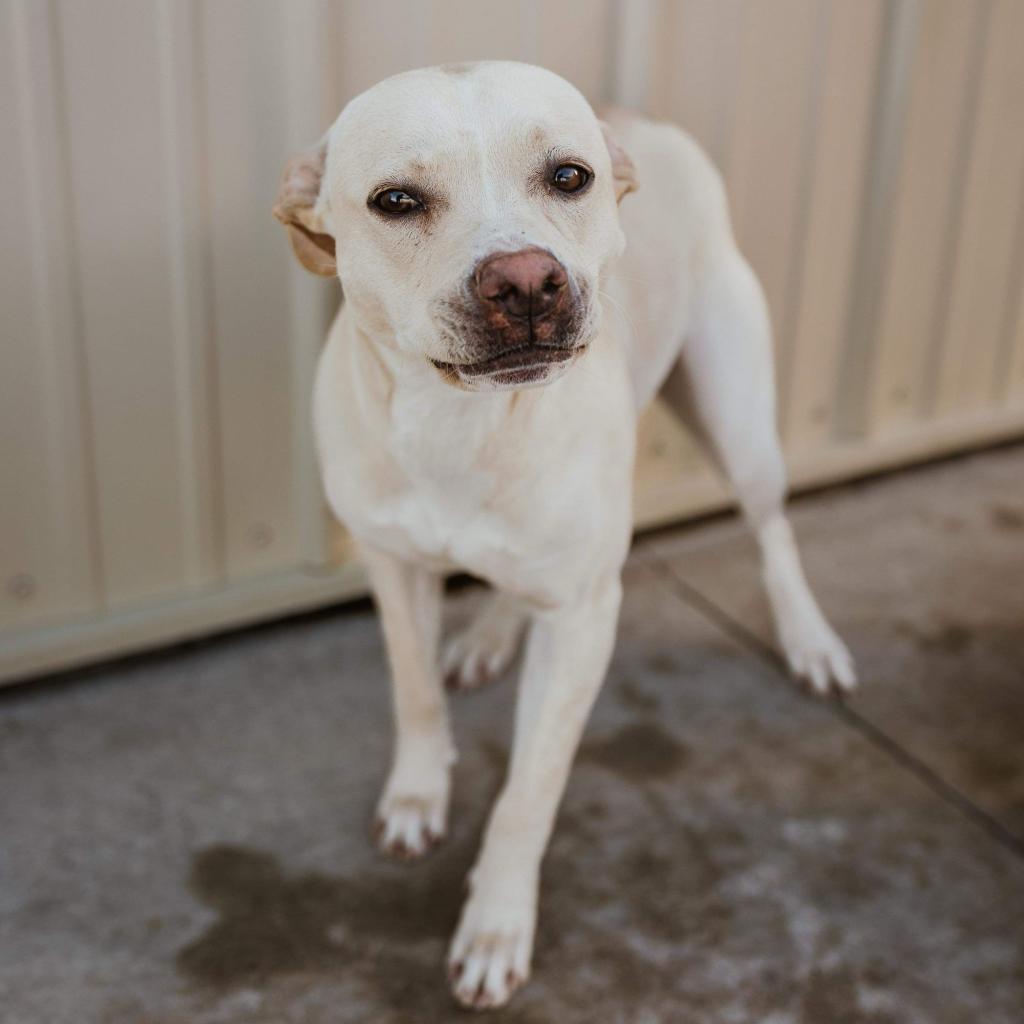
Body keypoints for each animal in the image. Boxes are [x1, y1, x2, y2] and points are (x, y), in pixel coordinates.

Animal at [270, 61, 847, 1007]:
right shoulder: (393, 568)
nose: (525, 281)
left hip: (741, 425)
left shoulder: (582, 622)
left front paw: (497, 924)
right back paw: (489, 636)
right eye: (395, 200)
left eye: (569, 177)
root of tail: (634, 114)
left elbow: (527, 794)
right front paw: (418, 795)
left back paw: (810, 638)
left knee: (775, 532)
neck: (460, 426)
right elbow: (414, 693)